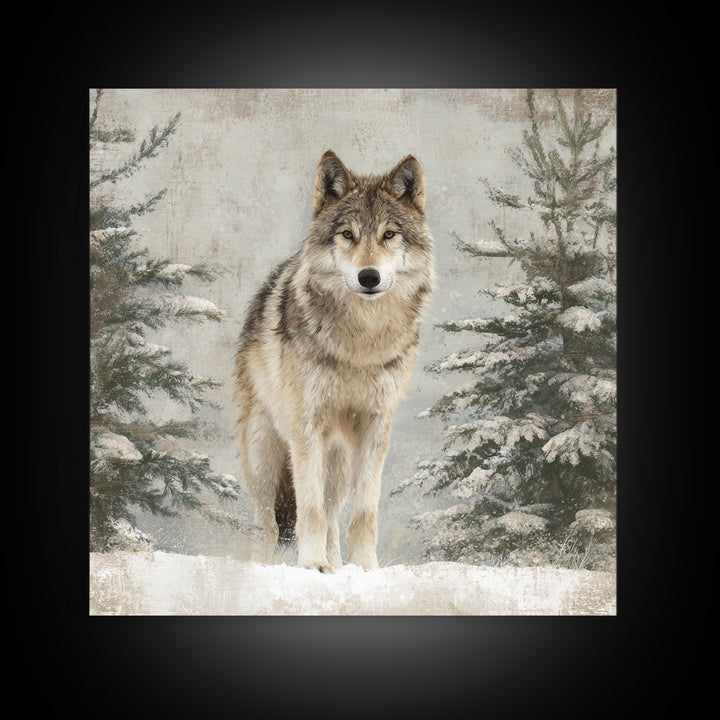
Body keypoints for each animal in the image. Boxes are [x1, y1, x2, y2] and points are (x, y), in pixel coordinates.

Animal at [233, 150, 434, 572]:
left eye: (389, 234)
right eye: (347, 234)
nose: (369, 276)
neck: (360, 343)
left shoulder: (375, 427)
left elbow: (363, 512)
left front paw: (365, 569)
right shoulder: (306, 427)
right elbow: (308, 510)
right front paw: (311, 567)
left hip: (338, 463)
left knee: (331, 516)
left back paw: (338, 566)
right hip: (265, 454)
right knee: (268, 524)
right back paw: (268, 567)